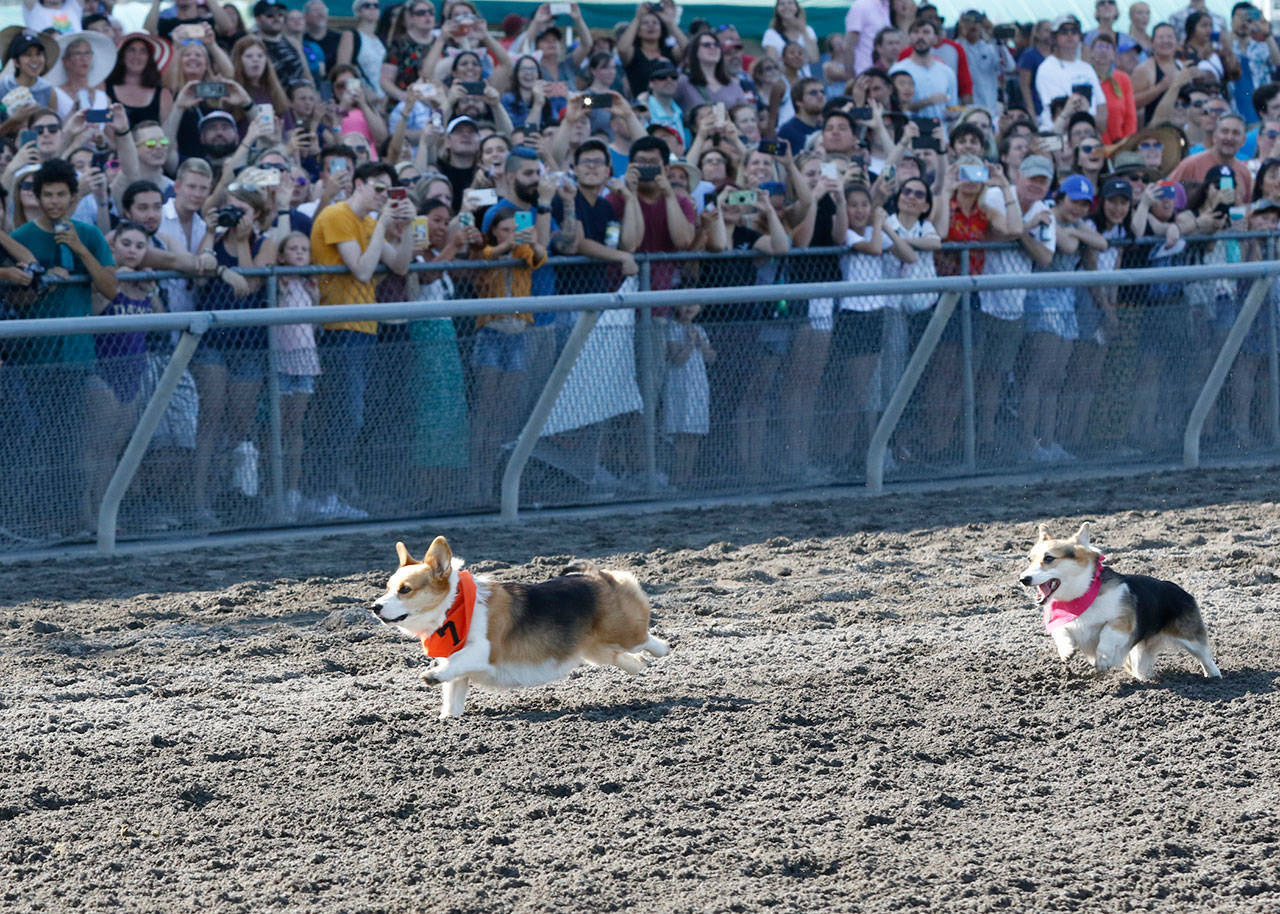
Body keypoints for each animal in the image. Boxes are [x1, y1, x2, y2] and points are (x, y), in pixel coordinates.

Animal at [368, 535, 670, 716]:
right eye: (387, 587)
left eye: (405, 590)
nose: (375, 607)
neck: (454, 605)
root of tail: (598, 575)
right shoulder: (459, 676)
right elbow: (452, 692)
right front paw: (446, 719)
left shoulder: (482, 651)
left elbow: (455, 662)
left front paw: (431, 675)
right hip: (596, 651)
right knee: (626, 659)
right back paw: (639, 666)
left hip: (624, 632)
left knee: (645, 638)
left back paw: (662, 650)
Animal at [1018, 519, 1218, 675]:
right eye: (1029, 559)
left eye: (1049, 558)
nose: (1023, 579)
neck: (1081, 595)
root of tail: (1180, 589)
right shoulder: (1061, 620)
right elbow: (1061, 631)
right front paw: (1067, 650)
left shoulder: (1122, 621)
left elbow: (1106, 634)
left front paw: (1103, 659)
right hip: (1140, 655)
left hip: (1191, 638)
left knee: (1205, 656)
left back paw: (1213, 676)